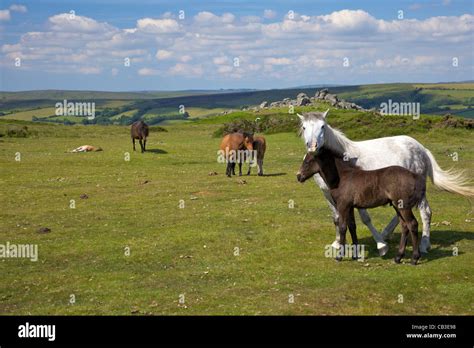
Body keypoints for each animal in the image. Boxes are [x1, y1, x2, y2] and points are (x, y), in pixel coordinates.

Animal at [296, 148, 426, 266]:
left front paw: (339, 256)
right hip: (396, 206)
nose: (298, 176)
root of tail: (414, 175)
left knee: (412, 224)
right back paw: (398, 257)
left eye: (307, 161)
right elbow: (352, 227)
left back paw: (414, 258)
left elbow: (343, 228)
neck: (342, 177)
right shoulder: (350, 207)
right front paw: (355, 255)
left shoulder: (343, 206)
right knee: (404, 226)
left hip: (403, 206)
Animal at [300, 111, 474, 256]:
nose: (313, 146)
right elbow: (336, 217)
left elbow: (365, 219)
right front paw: (337, 243)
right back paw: (387, 233)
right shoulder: (328, 194)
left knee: (425, 213)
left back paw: (423, 244)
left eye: (323, 126)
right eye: (304, 127)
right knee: (401, 215)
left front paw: (381, 246)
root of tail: (422, 149)